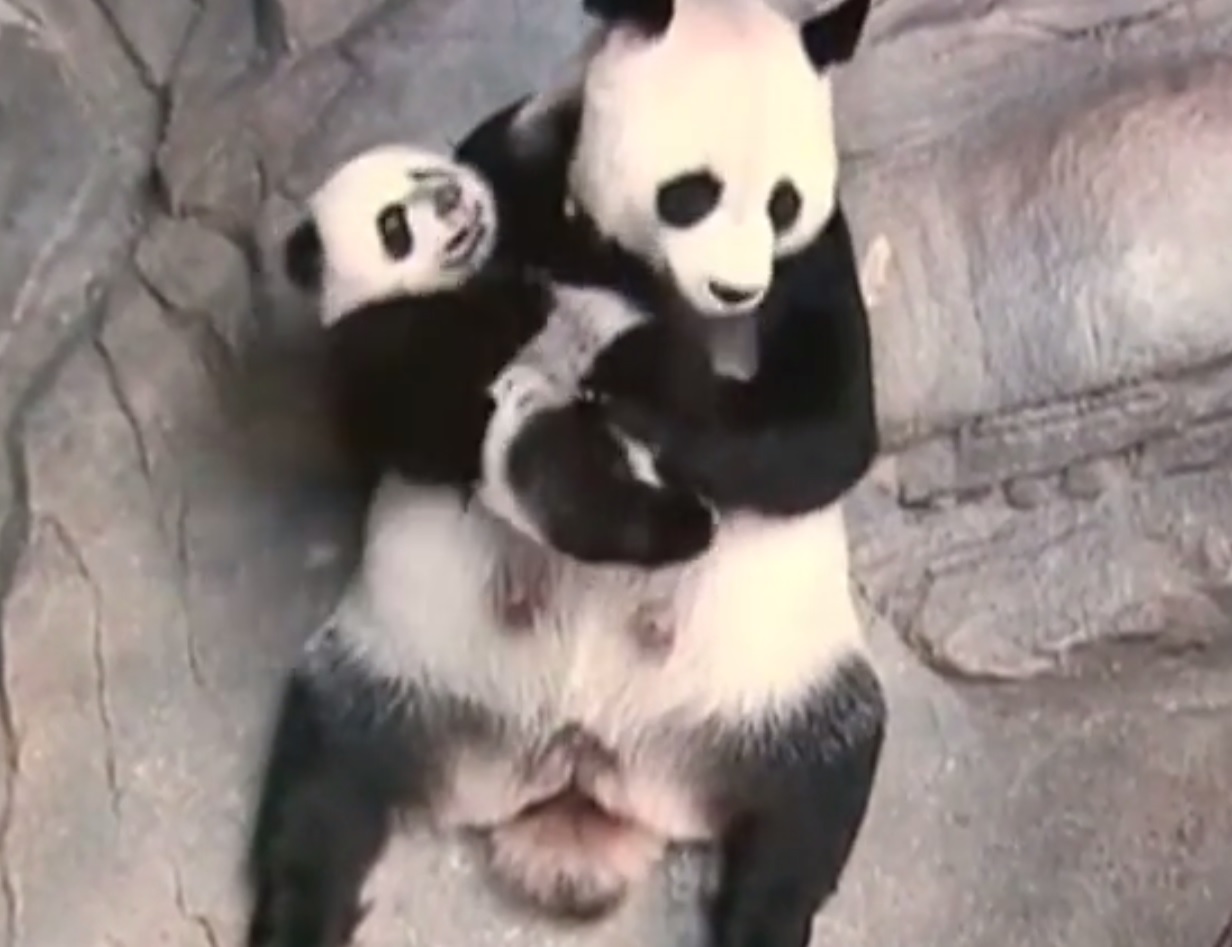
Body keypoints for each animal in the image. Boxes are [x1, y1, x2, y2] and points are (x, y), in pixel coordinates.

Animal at [280, 142, 723, 574]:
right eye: (393, 226)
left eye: (421, 172)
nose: (449, 196)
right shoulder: (376, 344)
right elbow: (429, 406)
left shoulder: (539, 240)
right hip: (526, 440)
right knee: (573, 489)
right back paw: (685, 523)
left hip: (625, 347)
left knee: (680, 386)